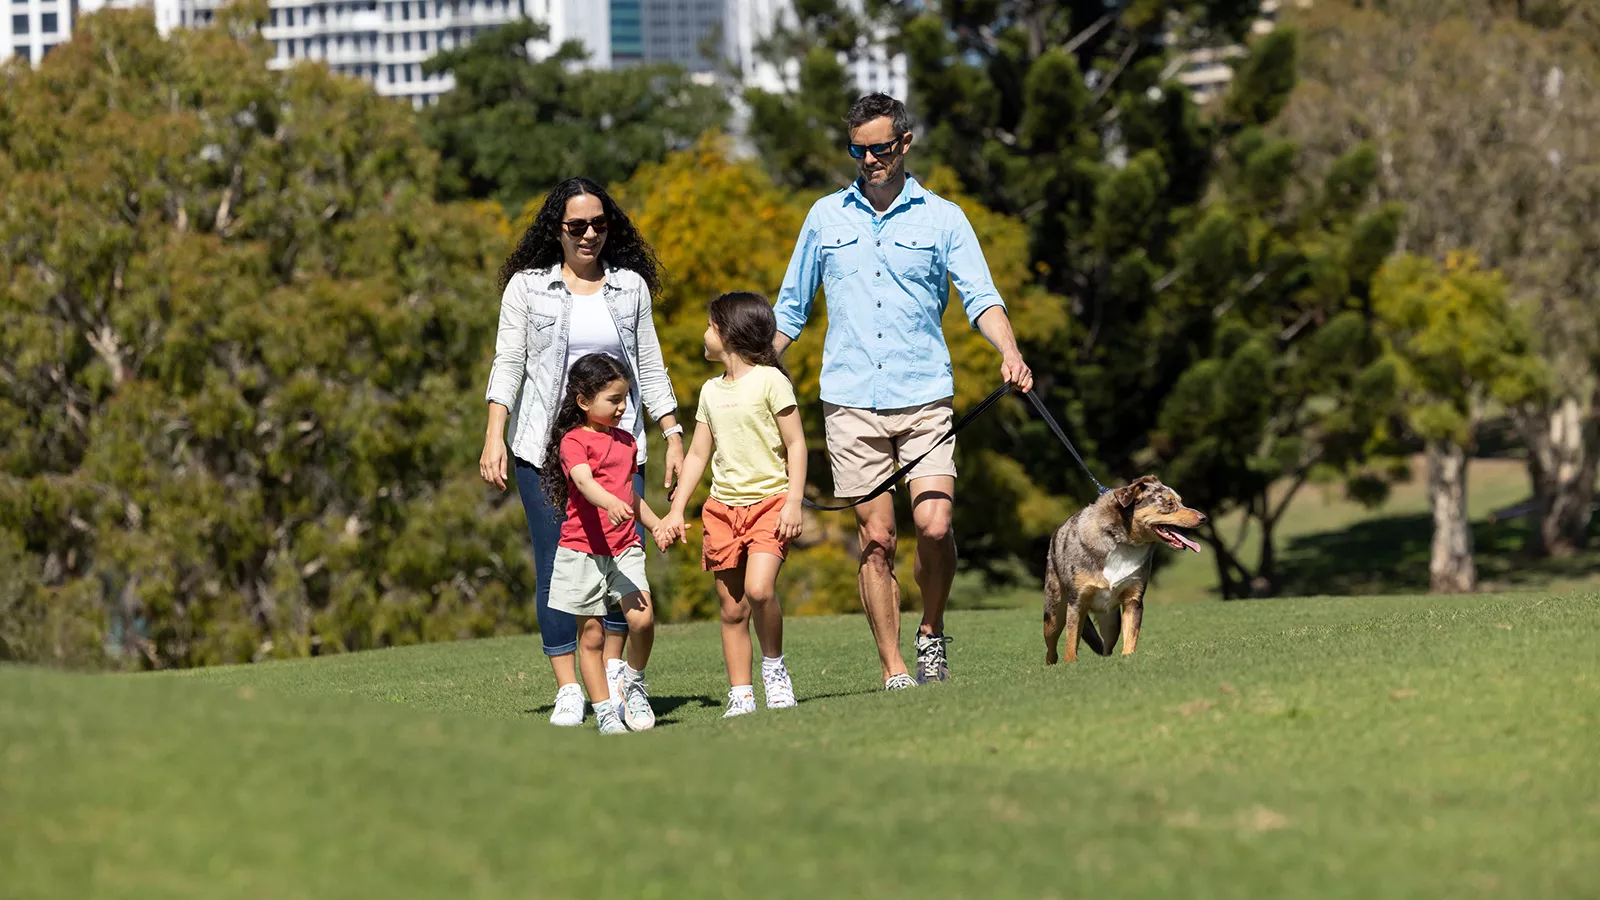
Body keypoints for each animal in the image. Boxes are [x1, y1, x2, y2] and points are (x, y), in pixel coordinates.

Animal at [1043, 474, 1203, 662]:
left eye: (1180, 501)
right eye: (1169, 504)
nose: (1203, 518)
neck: (1123, 542)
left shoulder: (1133, 599)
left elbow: (1131, 635)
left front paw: (1128, 658)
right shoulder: (1077, 602)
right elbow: (1071, 640)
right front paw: (1070, 663)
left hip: (1111, 621)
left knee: (1107, 647)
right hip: (1053, 613)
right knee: (1051, 648)